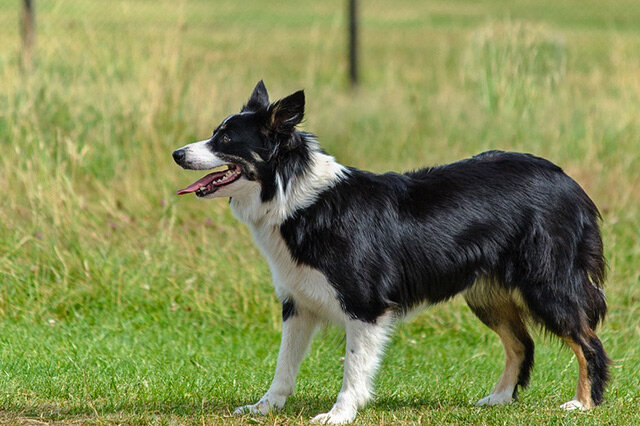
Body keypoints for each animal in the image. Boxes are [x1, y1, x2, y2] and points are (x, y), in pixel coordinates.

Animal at [171, 81, 608, 424]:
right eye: (215, 133)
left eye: (226, 140)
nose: (177, 154)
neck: (292, 196)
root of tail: (567, 180)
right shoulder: (298, 303)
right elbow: (283, 366)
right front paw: (265, 408)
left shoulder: (364, 305)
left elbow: (354, 368)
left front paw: (339, 414)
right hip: (486, 293)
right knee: (522, 344)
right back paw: (498, 399)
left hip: (546, 284)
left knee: (588, 342)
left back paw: (582, 404)